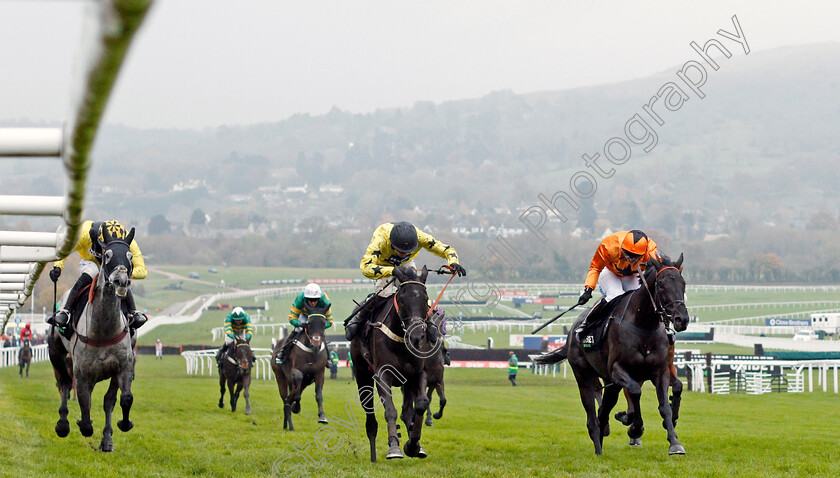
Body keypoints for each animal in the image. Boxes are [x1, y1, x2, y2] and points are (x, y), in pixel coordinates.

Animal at [352, 264, 442, 462]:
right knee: (370, 417)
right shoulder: (382, 374)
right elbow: (390, 411)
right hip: (362, 374)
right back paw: (373, 455)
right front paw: (394, 447)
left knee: (407, 411)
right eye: (401, 298)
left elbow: (421, 404)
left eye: (425, 298)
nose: (417, 336)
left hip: (406, 382)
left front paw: (413, 445)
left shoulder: (418, 372)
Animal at [540, 254, 688, 456]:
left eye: (683, 284)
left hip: (611, 382)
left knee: (604, 409)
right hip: (583, 375)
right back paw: (598, 447)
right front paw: (634, 427)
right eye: (662, 286)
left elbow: (665, 404)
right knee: (592, 414)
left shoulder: (661, 370)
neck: (644, 325)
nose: (682, 319)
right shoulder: (619, 370)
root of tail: (572, 332)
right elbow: (634, 392)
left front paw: (674, 441)